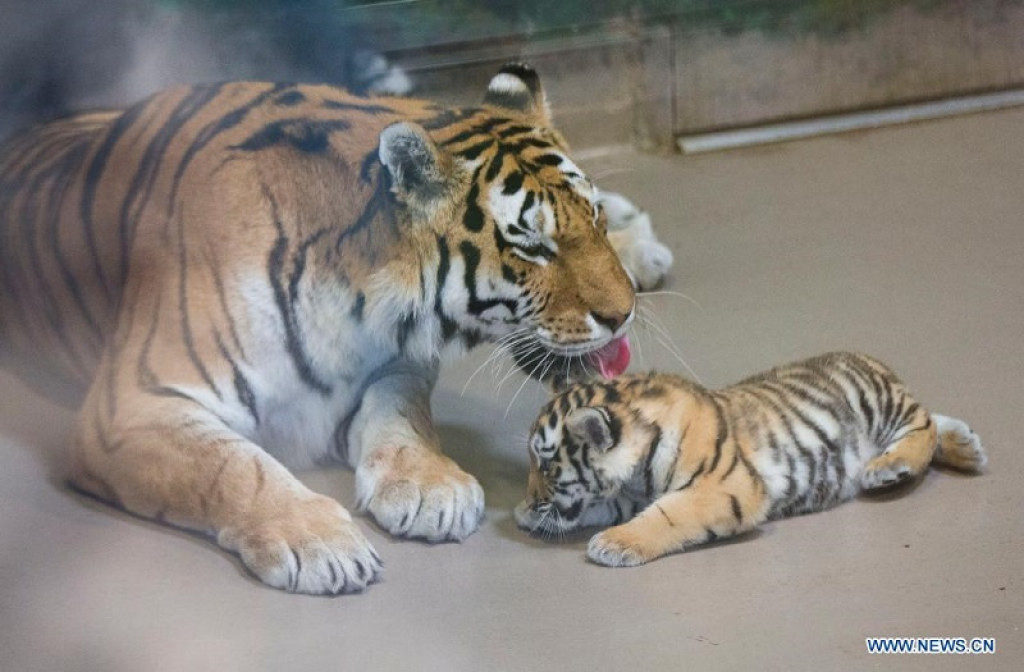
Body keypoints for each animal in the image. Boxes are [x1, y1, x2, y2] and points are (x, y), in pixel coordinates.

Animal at [0, 64, 638, 594]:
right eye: (532, 245)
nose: (625, 311)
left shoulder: (395, 366)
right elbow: (236, 467)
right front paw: (319, 542)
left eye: (596, 215)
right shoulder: (132, 406)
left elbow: (404, 419)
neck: (355, 297)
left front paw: (430, 486)